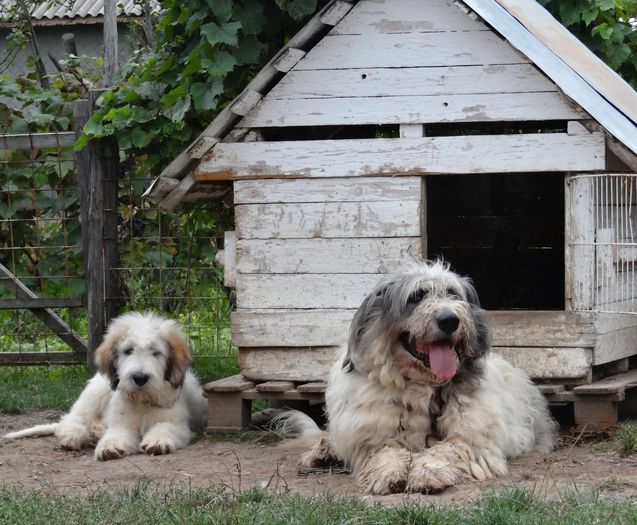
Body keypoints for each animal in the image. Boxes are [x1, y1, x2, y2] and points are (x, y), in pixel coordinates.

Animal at [5, 312, 209, 458]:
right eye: (128, 350)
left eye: (156, 352)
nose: (140, 378)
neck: (143, 400)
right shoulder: (121, 424)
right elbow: (115, 434)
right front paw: (110, 446)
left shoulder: (176, 422)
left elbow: (165, 428)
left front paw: (158, 442)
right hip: (96, 391)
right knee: (73, 418)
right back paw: (74, 435)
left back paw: (95, 431)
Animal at [280, 262, 556, 496]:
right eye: (416, 296)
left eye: (453, 294)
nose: (449, 320)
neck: (426, 386)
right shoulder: (375, 433)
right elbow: (385, 451)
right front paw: (389, 472)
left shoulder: (473, 437)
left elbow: (447, 449)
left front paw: (426, 472)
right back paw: (320, 453)